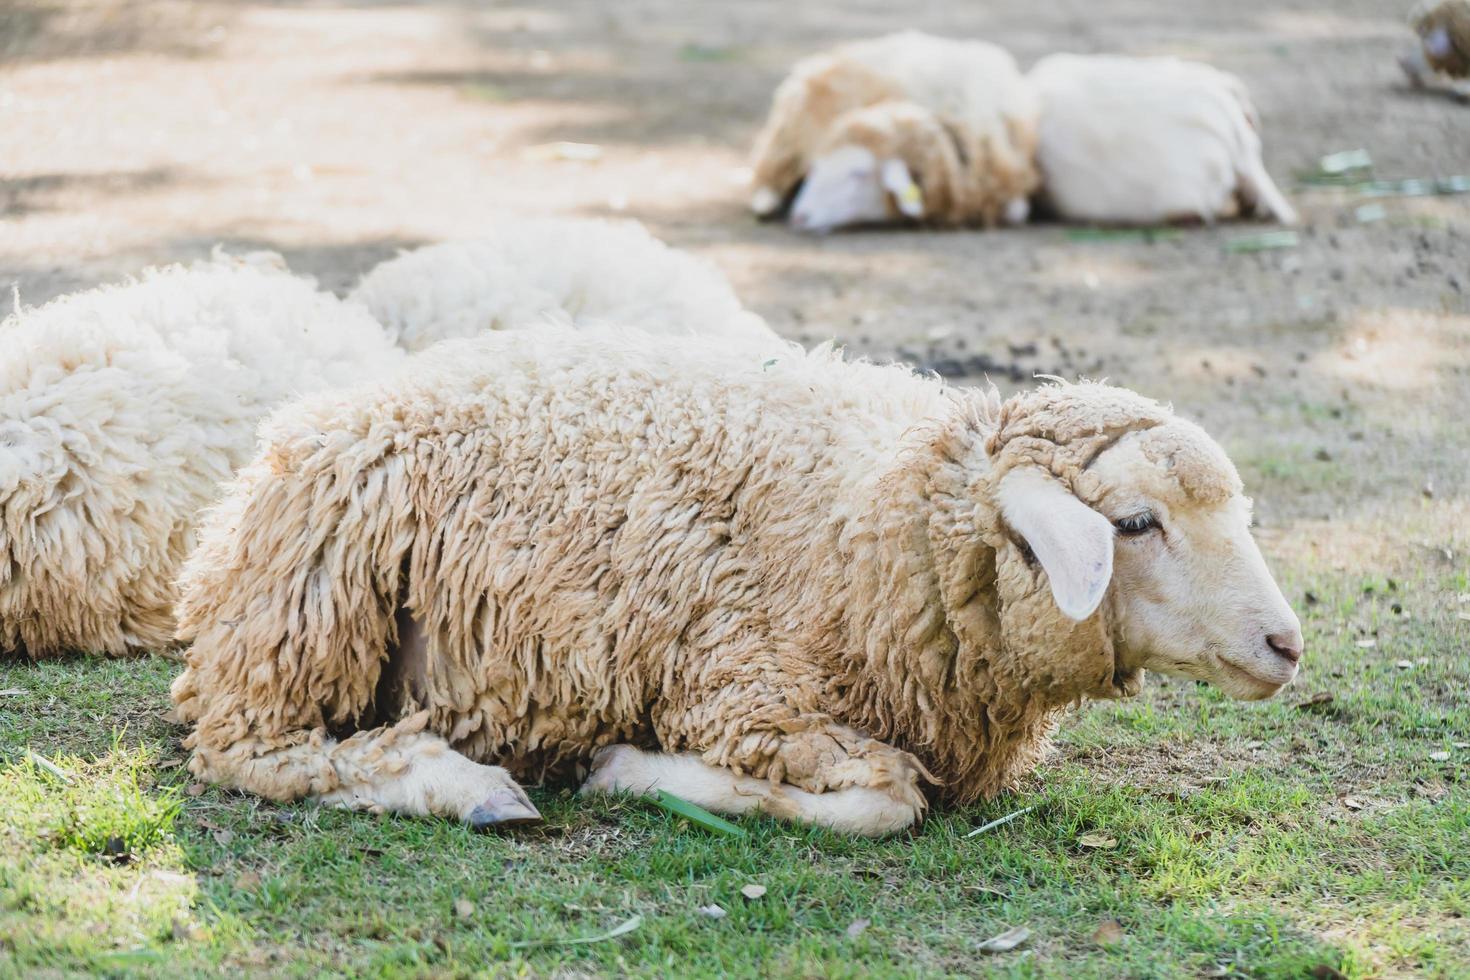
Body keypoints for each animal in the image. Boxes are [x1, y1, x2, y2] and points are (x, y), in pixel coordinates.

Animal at [166, 327, 1305, 834]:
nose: (1285, 644)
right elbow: (884, 801)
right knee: (253, 751)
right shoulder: (745, 691)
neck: (879, 520)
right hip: (309, 610)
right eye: (1136, 523)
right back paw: (468, 786)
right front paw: (626, 768)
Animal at [746, 31, 1046, 233]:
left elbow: (1018, 211)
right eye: (814, 170)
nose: (800, 216)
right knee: (766, 179)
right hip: (785, 140)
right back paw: (766, 204)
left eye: (859, 174)